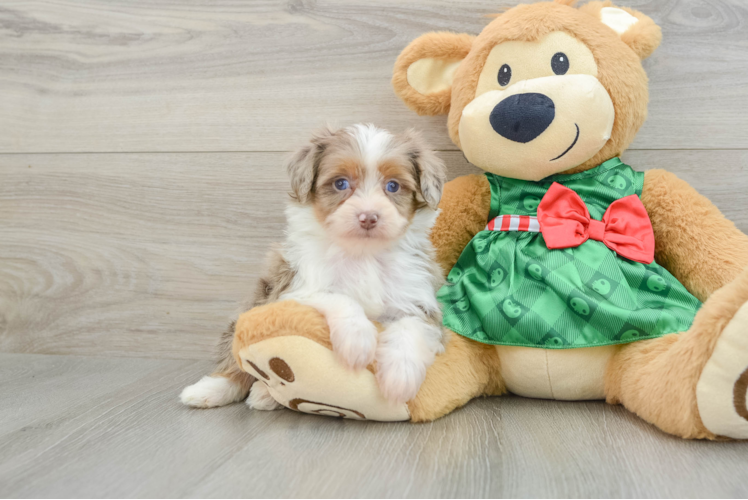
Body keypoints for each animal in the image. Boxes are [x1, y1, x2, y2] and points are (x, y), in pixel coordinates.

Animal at [181, 125, 448, 410]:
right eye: (340, 183)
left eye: (393, 186)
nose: (368, 217)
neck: (363, 254)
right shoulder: (293, 288)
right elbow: (336, 296)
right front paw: (358, 341)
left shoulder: (417, 298)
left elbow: (411, 328)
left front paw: (400, 379)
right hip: (252, 309)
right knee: (235, 361)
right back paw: (211, 389)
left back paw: (264, 393)